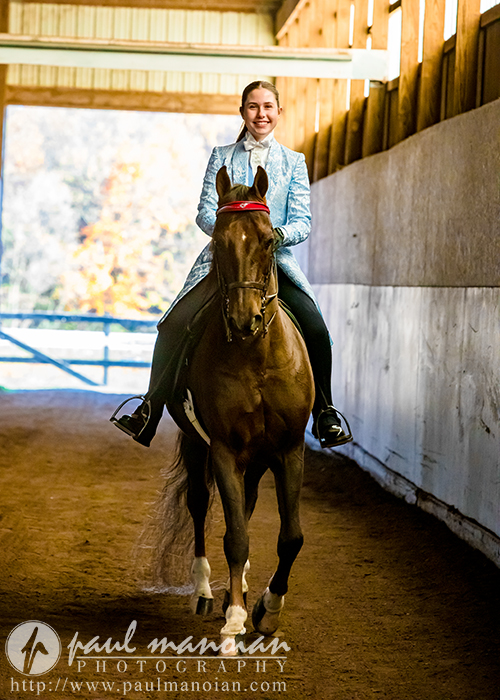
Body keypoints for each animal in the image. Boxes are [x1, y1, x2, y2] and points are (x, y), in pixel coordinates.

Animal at [152, 164, 315, 655]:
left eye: (268, 241)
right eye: (219, 242)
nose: (245, 320)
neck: (255, 356)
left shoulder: (289, 449)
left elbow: (290, 536)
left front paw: (267, 610)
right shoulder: (223, 449)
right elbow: (236, 537)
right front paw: (236, 620)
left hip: (257, 458)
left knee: (246, 504)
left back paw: (235, 591)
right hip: (198, 444)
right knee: (200, 504)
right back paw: (208, 593)